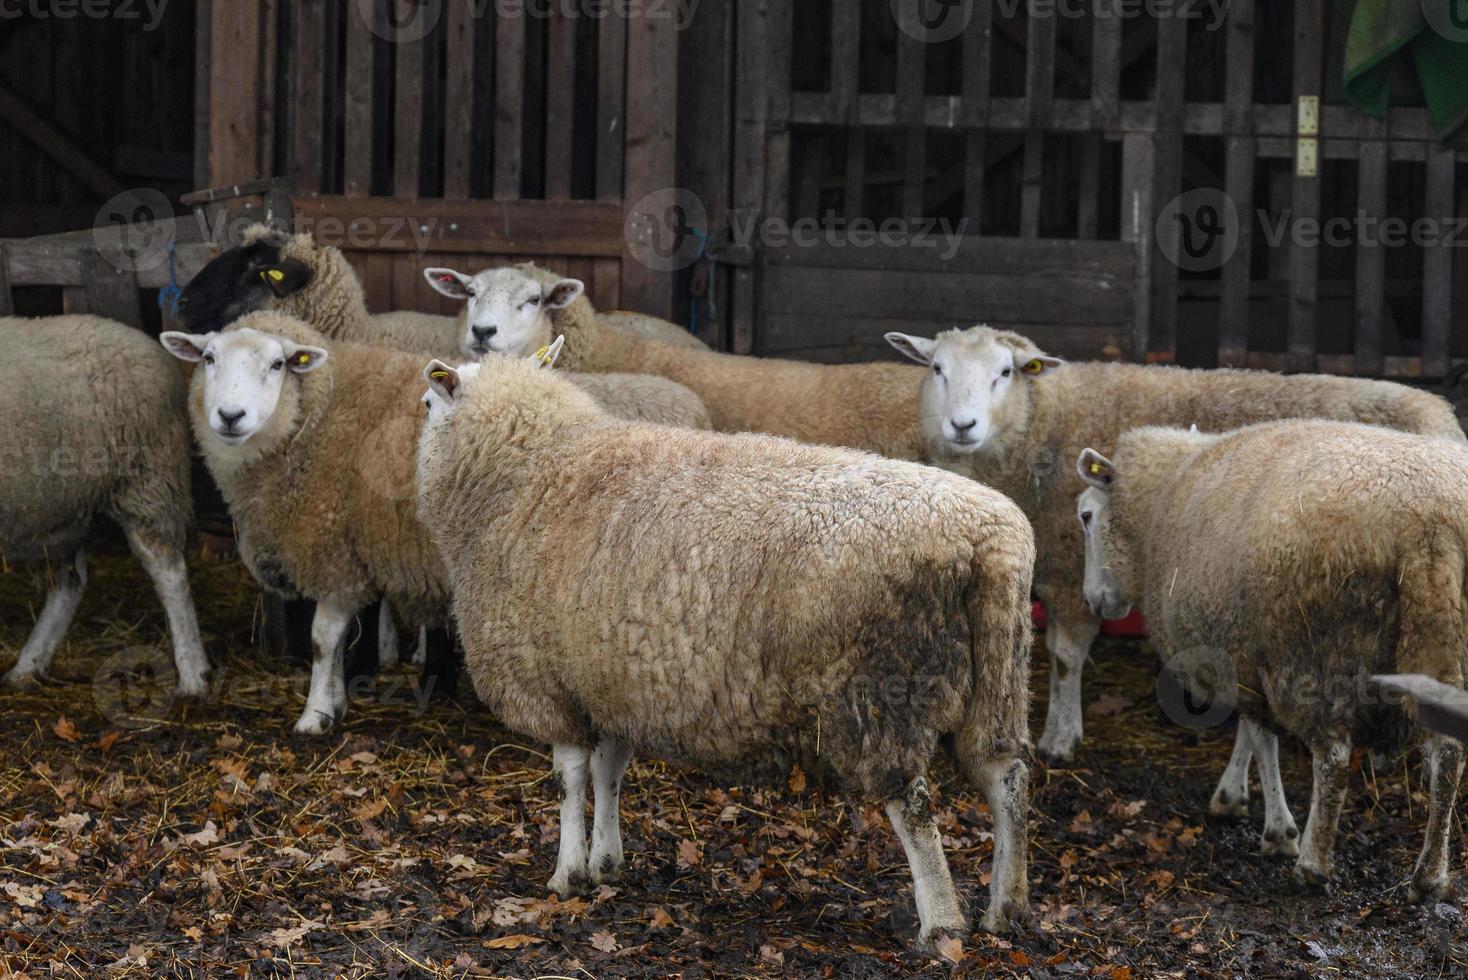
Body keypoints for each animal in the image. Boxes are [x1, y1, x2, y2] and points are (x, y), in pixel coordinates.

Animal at [1, 315, 209, 695]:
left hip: (147, 482)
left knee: (170, 574)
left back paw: (193, 676)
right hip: (64, 505)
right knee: (69, 584)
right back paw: (28, 665)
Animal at [157, 313, 449, 733]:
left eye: (278, 364)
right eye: (209, 358)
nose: (230, 416)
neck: (314, 418)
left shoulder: (331, 552)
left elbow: (322, 640)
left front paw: (314, 716)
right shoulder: (347, 554)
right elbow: (339, 642)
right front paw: (336, 702)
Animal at [408, 352, 1039, 950]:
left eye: (426, 404)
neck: (528, 471)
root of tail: (988, 540)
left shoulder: (549, 680)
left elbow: (569, 780)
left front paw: (567, 874)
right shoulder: (612, 676)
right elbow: (610, 771)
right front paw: (606, 861)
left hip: (881, 692)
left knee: (915, 808)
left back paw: (942, 925)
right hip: (999, 675)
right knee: (1005, 778)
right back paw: (1006, 907)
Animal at [880, 322, 1468, 774]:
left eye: (1004, 372)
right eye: (937, 369)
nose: (962, 425)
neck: (1042, 422)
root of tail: (1441, 412)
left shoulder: (1074, 567)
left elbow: (1065, 657)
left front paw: (1060, 737)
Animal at [1074, 416, 1462, 897]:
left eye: (1086, 516)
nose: (1093, 600)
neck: (1160, 502)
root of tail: (1432, 521)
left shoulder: (1253, 655)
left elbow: (1262, 740)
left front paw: (1278, 831)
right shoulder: (1243, 649)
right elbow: (1248, 730)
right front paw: (1231, 795)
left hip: (1318, 653)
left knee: (1333, 759)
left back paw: (1313, 863)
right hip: (1442, 644)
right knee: (1448, 756)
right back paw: (1430, 874)